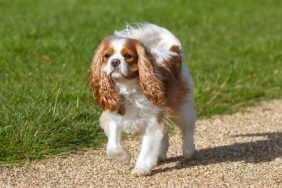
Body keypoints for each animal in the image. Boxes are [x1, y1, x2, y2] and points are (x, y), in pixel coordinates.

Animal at [88, 23, 196, 175]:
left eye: (128, 56)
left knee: (187, 127)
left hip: (181, 107)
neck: (127, 88)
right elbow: (112, 145)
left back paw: (188, 151)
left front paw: (140, 168)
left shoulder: (152, 121)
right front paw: (123, 157)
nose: (115, 62)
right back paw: (160, 155)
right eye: (107, 56)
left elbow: (147, 148)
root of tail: (174, 52)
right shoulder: (113, 116)